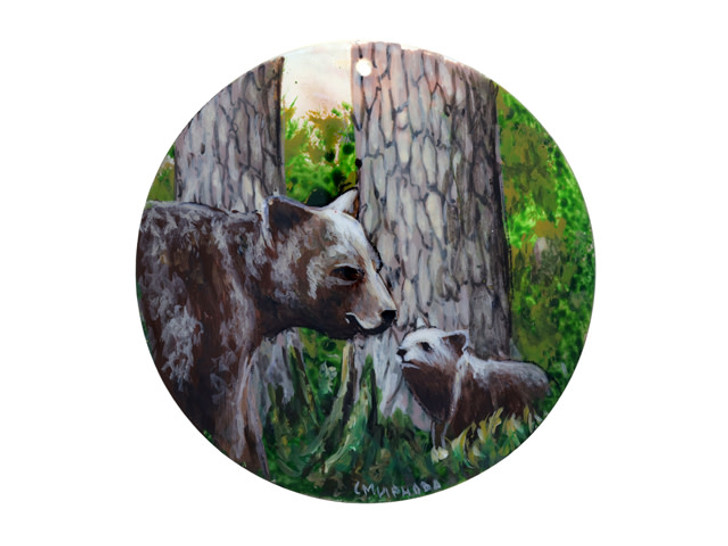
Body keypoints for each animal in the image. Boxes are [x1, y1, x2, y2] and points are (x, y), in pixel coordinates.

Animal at [136, 190, 396, 476]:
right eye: (348, 271)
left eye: (376, 265)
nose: (389, 312)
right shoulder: (201, 325)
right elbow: (228, 423)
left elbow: (248, 426)